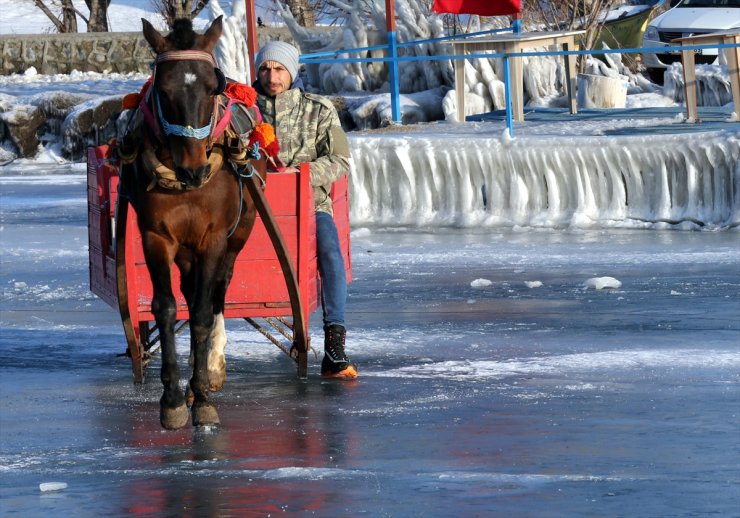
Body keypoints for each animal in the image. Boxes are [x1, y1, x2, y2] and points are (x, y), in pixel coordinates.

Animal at [123, 16, 266, 430]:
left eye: (210, 86)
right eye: (163, 88)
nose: (194, 168)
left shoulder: (213, 238)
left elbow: (202, 312)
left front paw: (201, 394)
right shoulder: (156, 236)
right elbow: (167, 307)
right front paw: (171, 398)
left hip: (239, 233)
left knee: (217, 289)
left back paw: (211, 364)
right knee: (189, 289)